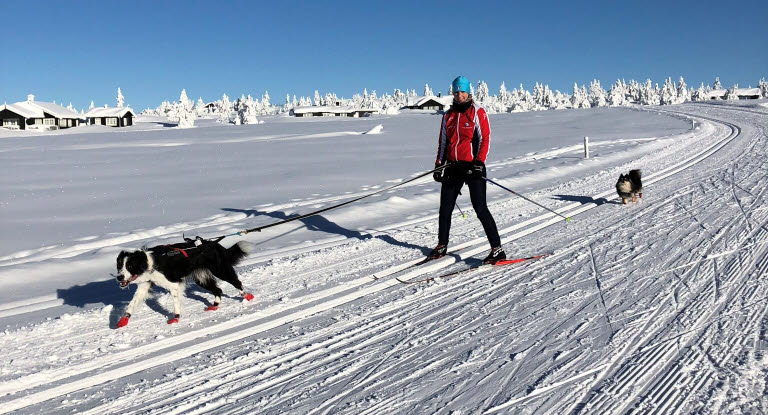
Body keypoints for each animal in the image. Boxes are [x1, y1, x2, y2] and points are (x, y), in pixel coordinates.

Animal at [114, 239, 254, 330]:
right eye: (120, 266)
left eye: (130, 266)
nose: (119, 277)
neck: (149, 262)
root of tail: (215, 244)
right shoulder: (145, 285)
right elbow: (132, 303)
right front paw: (123, 320)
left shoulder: (173, 284)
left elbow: (176, 303)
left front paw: (176, 318)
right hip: (201, 278)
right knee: (218, 290)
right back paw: (214, 305)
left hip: (220, 270)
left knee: (236, 282)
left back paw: (246, 296)